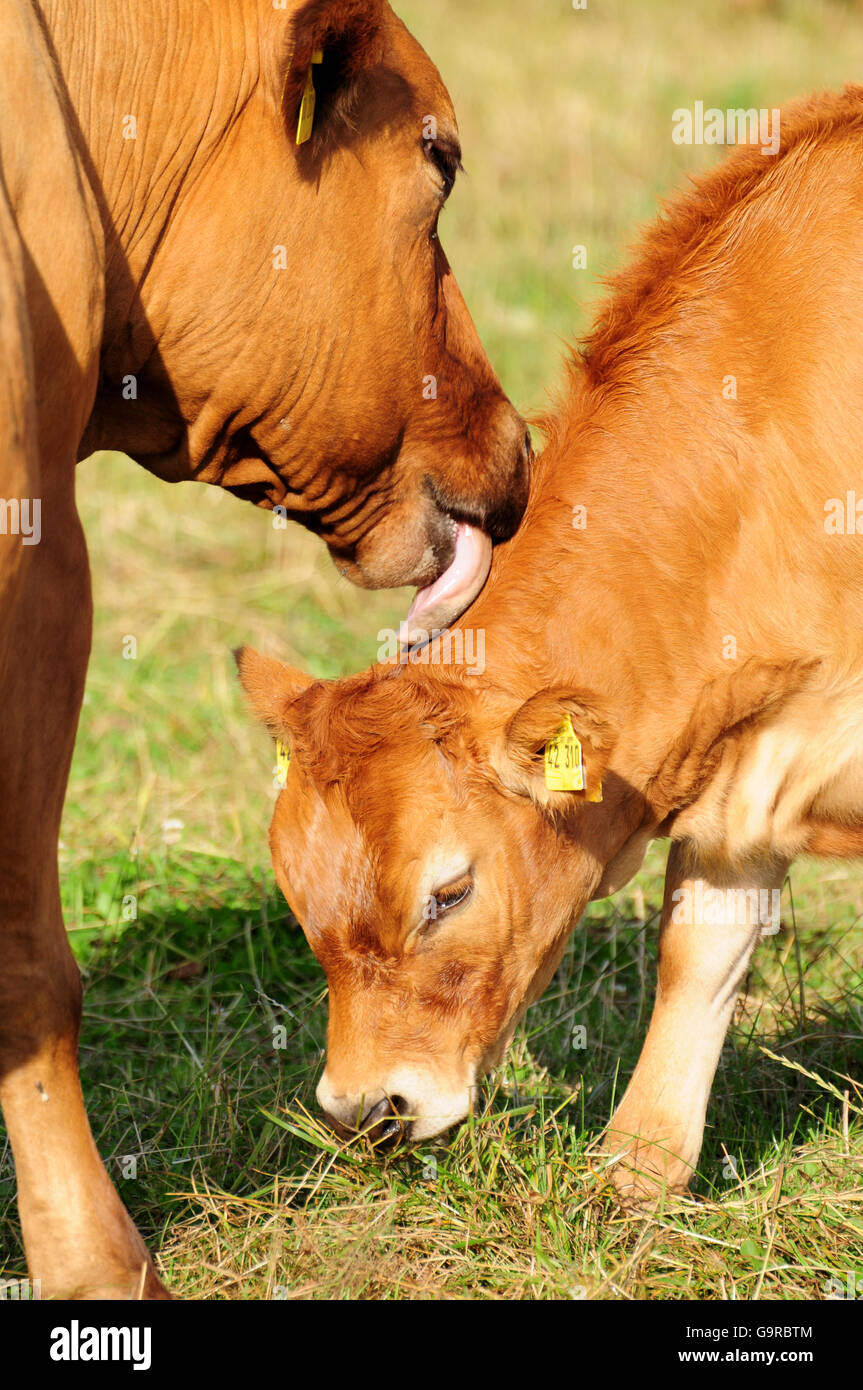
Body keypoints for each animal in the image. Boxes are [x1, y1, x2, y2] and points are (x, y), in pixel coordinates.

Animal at [239, 88, 863, 1206]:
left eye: (448, 893)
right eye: (296, 896)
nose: (368, 1111)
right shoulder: (749, 767)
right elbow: (697, 949)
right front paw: (636, 1174)